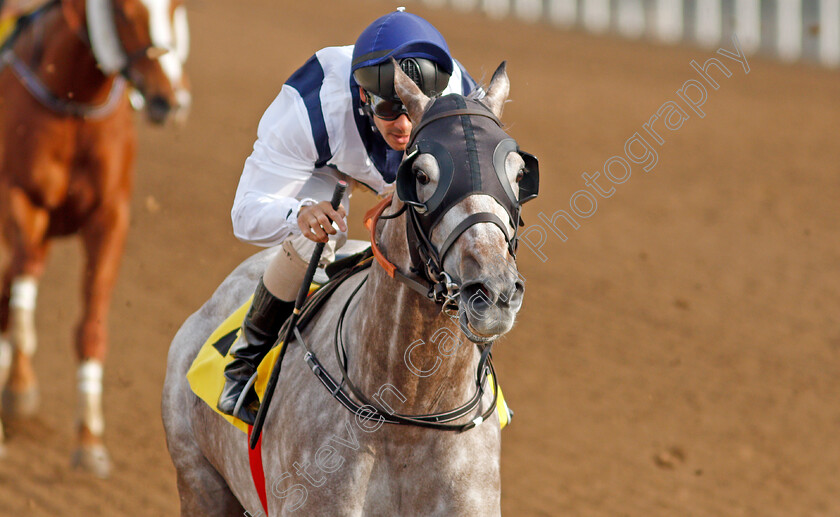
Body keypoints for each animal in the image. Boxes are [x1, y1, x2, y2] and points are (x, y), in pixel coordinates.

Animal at [0, 0, 190, 476]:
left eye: (177, 8)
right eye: (124, 11)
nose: (168, 99)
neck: (73, 102)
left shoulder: (110, 217)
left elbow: (91, 324)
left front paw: (89, 439)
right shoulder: (17, 194)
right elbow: (23, 272)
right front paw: (21, 371)